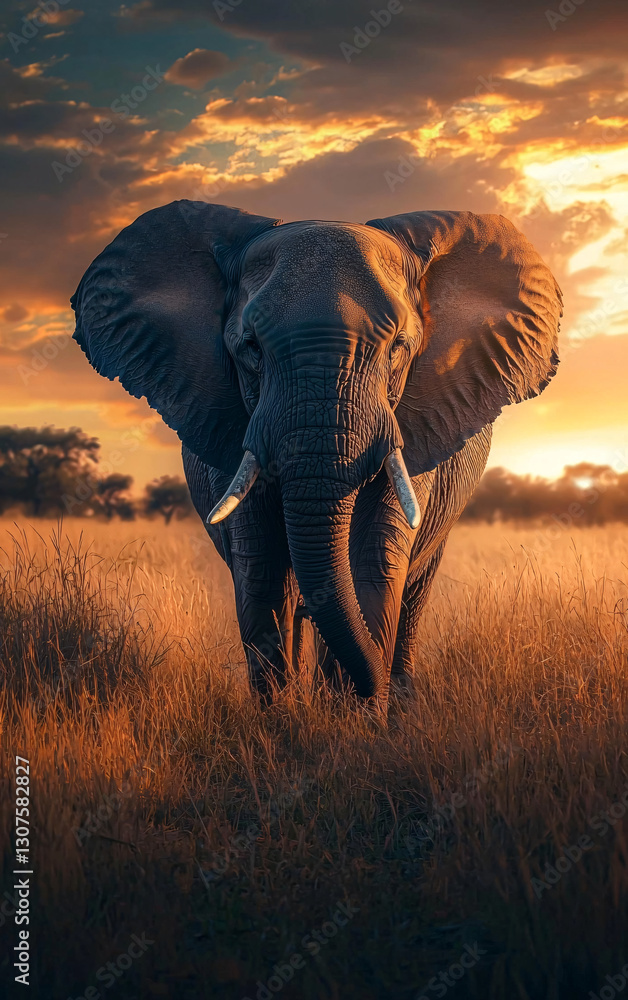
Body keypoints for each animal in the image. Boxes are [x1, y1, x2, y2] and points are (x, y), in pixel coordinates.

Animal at [71, 201, 562, 707]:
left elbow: (373, 563)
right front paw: (283, 720)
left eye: (398, 348)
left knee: (412, 591)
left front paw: (353, 719)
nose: (370, 695)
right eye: (251, 347)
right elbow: (262, 570)